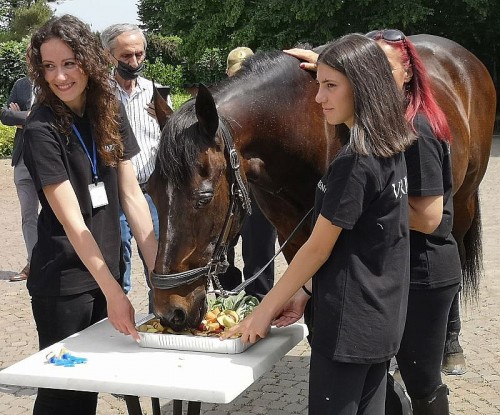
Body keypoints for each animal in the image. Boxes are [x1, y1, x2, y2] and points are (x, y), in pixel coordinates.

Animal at [146, 35, 496, 368]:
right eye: (150, 191)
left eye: (203, 198)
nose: (170, 311)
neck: (306, 128)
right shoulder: (293, 235)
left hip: (462, 203)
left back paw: (450, 346)